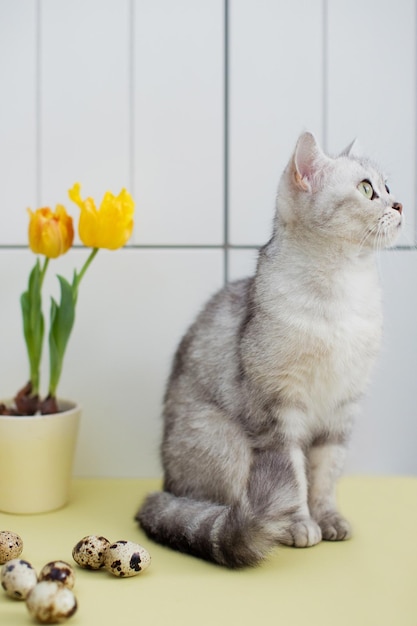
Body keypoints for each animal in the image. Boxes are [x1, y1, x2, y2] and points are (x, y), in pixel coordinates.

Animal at [137, 132, 404, 564]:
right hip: (225, 443)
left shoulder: (341, 409)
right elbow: (293, 476)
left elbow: (325, 475)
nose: (400, 205)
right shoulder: (278, 409)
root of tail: (166, 485)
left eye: (389, 187)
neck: (340, 295)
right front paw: (298, 524)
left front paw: (328, 518)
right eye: (367, 189)